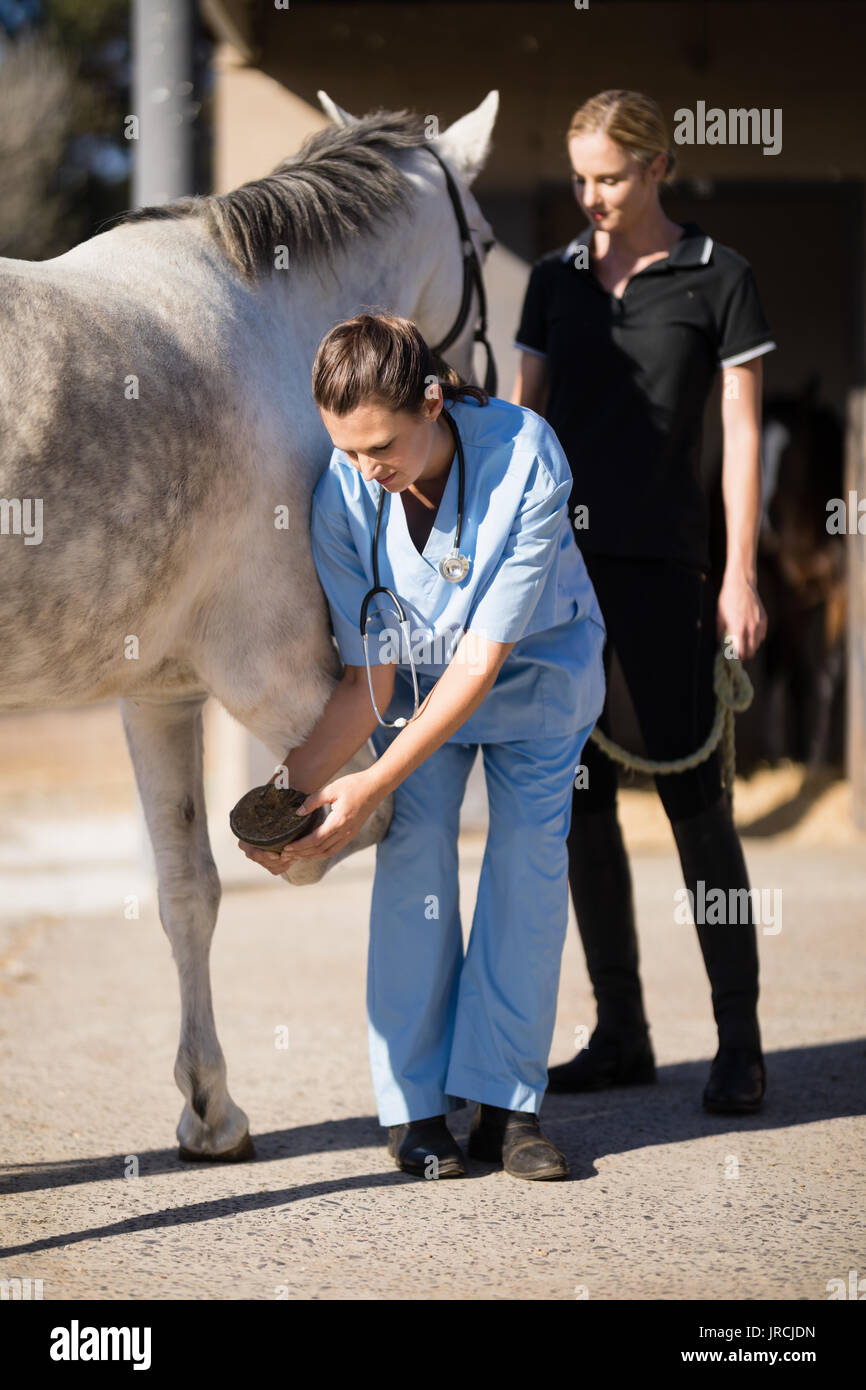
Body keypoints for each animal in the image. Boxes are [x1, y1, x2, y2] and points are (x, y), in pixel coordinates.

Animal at [0, 90, 499, 1161]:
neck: (267, 327)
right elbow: (368, 816)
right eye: (483, 236)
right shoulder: (270, 677)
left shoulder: (160, 695)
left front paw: (210, 1109)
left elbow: (189, 891)